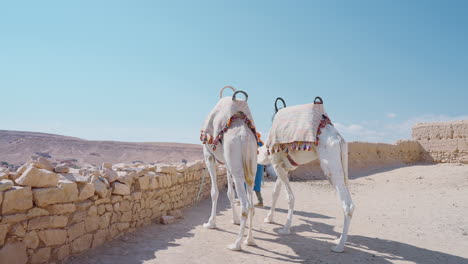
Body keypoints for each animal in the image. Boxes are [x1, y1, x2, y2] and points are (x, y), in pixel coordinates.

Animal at [198, 86, 260, 250]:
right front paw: (234, 219)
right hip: (250, 164)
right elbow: (230, 193)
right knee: (251, 204)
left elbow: (214, 192)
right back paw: (249, 240)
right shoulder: (227, 163)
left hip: (237, 166)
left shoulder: (209, 156)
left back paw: (236, 244)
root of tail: (244, 137)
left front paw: (210, 223)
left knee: (245, 205)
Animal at [256, 96, 354, 252]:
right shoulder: (282, 167)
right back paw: (338, 240)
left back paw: (339, 246)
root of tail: (339, 140)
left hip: (330, 166)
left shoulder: (277, 164)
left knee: (347, 204)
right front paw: (269, 218)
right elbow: (275, 193)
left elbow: (290, 197)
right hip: (342, 165)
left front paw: (285, 228)